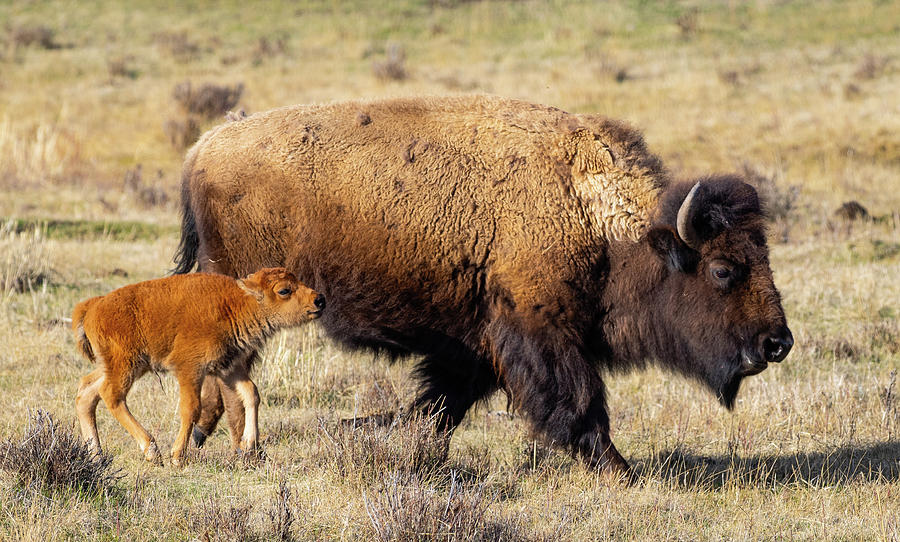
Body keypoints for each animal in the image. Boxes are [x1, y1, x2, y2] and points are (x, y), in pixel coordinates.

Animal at [72, 268, 324, 468]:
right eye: (284, 290)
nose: (319, 300)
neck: (235, 303)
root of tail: (93, 306)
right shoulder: (190, 369)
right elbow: (192, 408)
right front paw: (177, 456)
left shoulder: (228, 368)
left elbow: (252, 393)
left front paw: (249, 444)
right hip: (125, 366)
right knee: (111, 396)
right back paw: (152, 451)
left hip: (120, 366)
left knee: (87, 393)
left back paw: (96, 455)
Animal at [172, 94, 792, 476]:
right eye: (722, 269)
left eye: (763, 256)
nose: (777, 343)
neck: (594, 214)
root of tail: (204, 147)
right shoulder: (537, 333)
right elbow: (579, 402)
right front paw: (623, 471)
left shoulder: (476, 345)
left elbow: (443, 404)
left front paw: (385, 434)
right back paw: (238, 447)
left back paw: (210, 438)